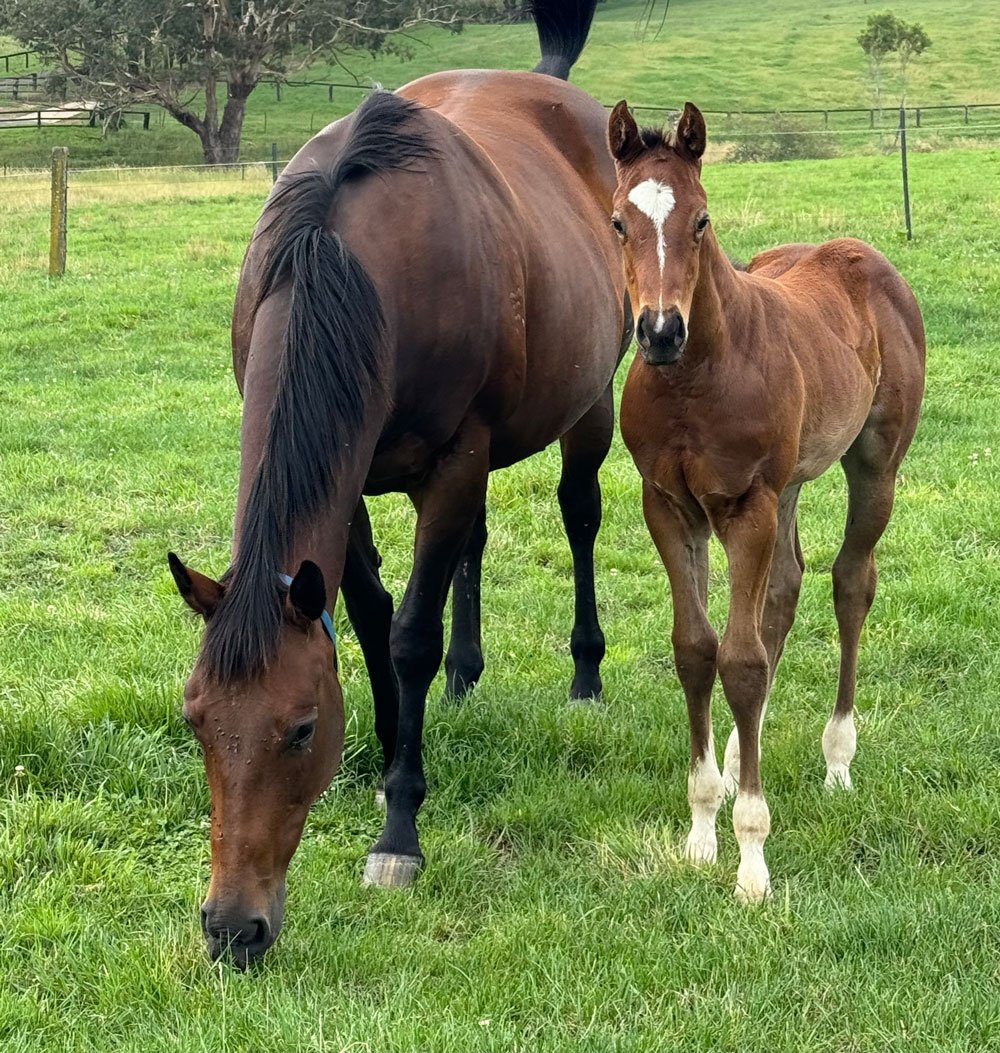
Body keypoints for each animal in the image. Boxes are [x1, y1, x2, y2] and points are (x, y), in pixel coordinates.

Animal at [167, 0, 629, 967]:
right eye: (195, 719)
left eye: (301, 727)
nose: (233, 927)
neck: (343, 263)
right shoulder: (349, 497)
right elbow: (375, 618)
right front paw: (387, 753)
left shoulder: (455, 460)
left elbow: (410, 632)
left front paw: (400, 827)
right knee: (473, 547)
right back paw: (463, 677)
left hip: (588, 409)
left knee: (579, 515)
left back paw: (584, 675)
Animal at [607, 100, 925, 901]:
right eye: (620, 221)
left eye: (701, 220)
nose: (660, 331)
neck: (695, 380)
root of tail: (863, 255)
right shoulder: (670, 508)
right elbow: (698, 649)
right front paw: (701, 826)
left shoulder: (746, 504)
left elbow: (743, 662)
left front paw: (752, 858)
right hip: (789, 487)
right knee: (782, 591)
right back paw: (731, 756)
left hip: (873, 466)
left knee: (850, 582)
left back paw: (838, 758)